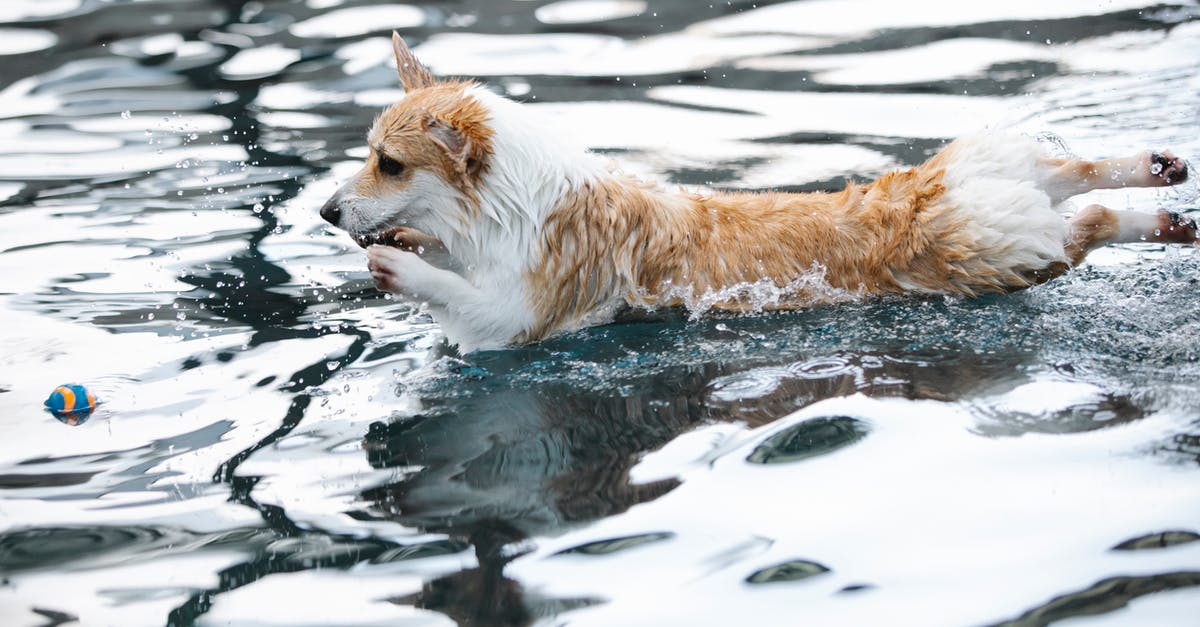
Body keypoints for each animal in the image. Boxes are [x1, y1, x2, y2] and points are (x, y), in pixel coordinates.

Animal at [319, 32, 1190, 350]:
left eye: (388, 164)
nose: (325, 211)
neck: (509, 204)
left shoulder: (516, 320)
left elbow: (459, 295)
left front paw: (398, 267)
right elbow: (440, 256)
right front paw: (403, 244)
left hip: (991, 252)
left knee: (1089, 219)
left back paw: (1157, 210)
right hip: (993, 189)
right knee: (1078, 178)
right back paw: (1160, 179)